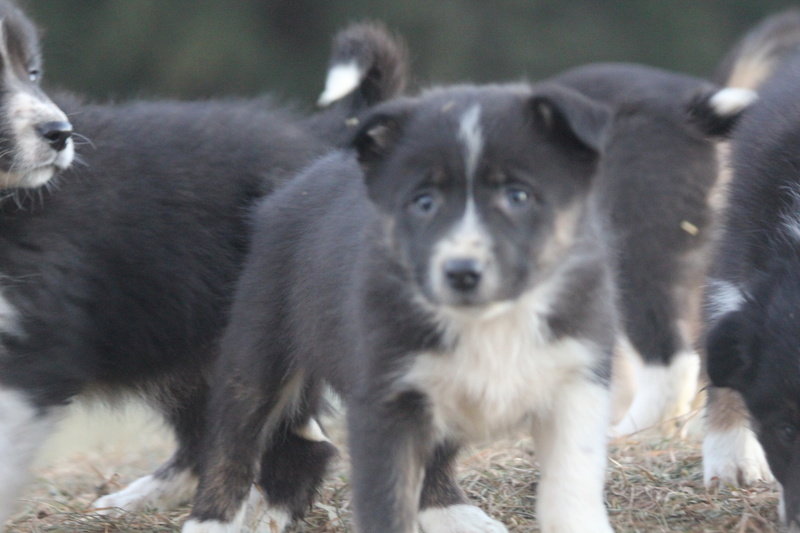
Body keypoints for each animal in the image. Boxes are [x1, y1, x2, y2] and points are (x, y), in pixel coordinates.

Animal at [0, 2, 406, 524]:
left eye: (33, 72)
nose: (60, 133)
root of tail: (323, 137)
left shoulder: (41, 342)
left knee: (298, 440)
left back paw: (266, 518)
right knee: (207, 435)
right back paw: (138, 499)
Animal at [186, 82, 620, 532]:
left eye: (518, 196)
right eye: (424, 202)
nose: (461, 271)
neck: (489, 321)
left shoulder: (578, 377)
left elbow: (571, 489)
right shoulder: (385, 398)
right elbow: (387, 503)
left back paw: (453, 513)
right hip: (260, 342)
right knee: (232, 442)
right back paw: (209, 522)